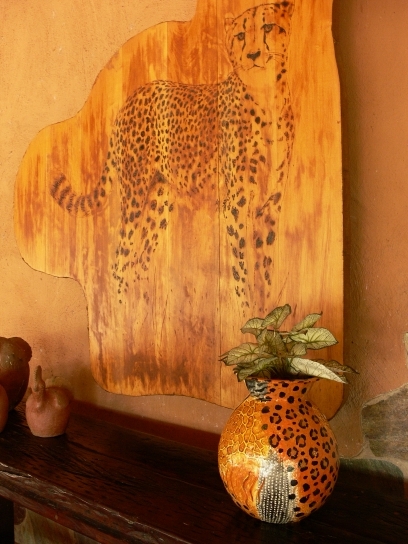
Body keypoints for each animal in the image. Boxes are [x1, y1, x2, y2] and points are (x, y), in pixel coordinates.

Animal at [50, 1, 295, 306]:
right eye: (240, 35)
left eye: (268, 26)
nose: (252, 55)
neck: (266, 98)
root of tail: (130, 99)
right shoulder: (235, 203)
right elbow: (241, 264)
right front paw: (246, 307)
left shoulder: (269, 204)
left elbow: (266, 264)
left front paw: (269, 306)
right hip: (135, 195)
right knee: (121, 256)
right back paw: (122, 310)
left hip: (160, 200)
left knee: (140, 260)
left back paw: (143, 309)